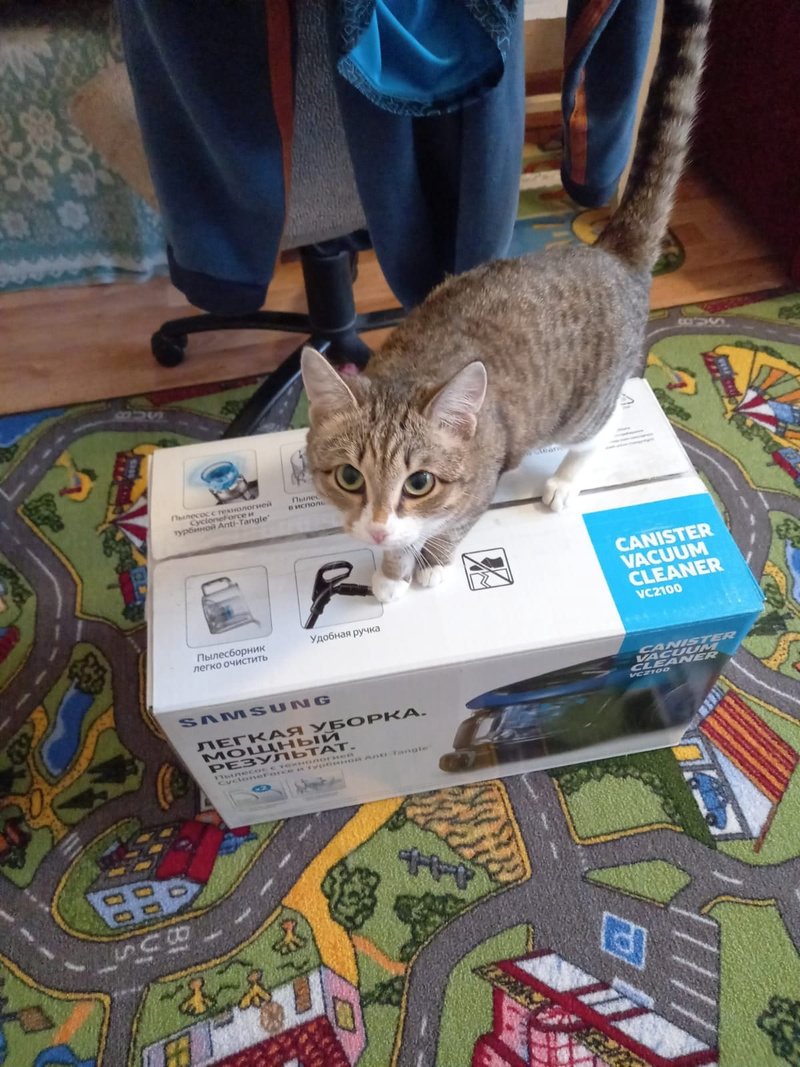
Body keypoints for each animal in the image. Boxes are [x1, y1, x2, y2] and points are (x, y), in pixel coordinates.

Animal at [301, 0, 711, 604]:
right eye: (350, 477)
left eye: (419, 482)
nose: (374, 529)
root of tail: (608, 252)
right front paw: (390, 569)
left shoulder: (481, 474)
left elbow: (451, 520)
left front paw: (426, 562)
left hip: (584, 405)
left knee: (608, 420)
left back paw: (565, 480)